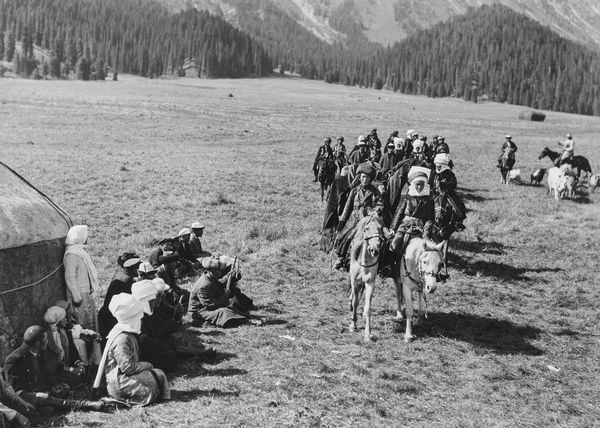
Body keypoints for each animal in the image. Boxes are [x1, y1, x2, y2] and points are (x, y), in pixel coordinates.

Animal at [346, 213, 384, 342]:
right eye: (366, 229)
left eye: (381, 228)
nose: (374, 249)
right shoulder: (354, 281)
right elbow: (355, 302)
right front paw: (353, 325)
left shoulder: (370, 283)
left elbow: (368, 308)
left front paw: (368, 333)